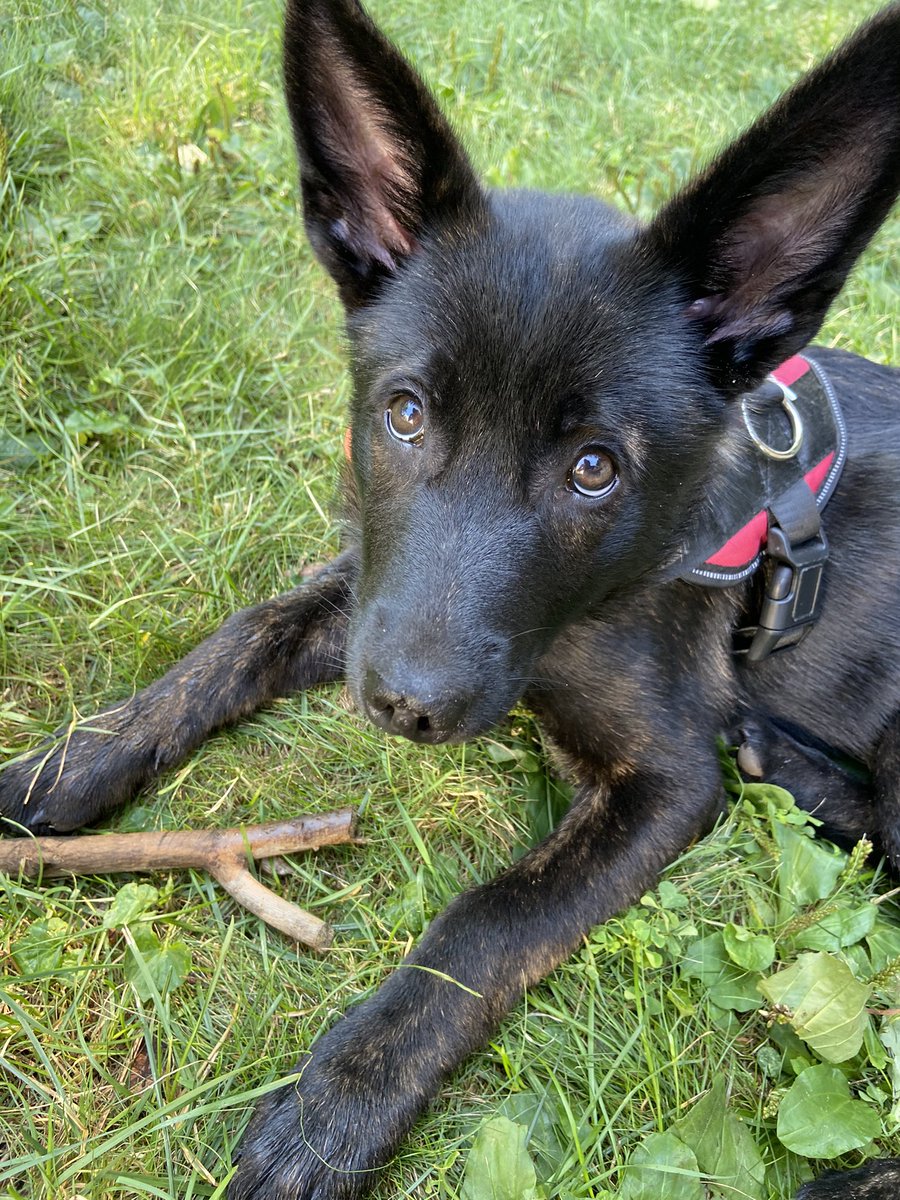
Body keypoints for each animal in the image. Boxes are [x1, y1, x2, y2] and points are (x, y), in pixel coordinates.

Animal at [1, 2, 900, 1200]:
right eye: (407, 413)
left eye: (595, 469)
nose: (404, 707)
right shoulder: (370, 596)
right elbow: (235, 640)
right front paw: (66, 762)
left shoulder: (664, 782)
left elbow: (488, 921)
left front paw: (337, 1105)